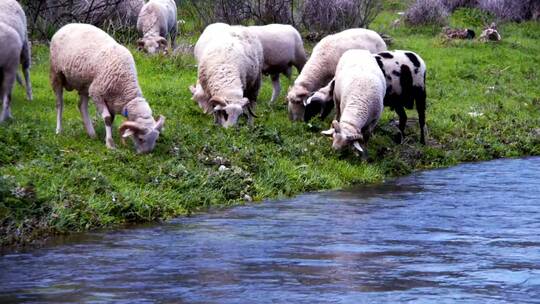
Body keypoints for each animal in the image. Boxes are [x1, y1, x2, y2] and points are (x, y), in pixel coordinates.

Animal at [50, 23, 165, 154]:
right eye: (140, 139)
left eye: (155, 139)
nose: (146, 153)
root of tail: (66, 25)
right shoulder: (97, 94)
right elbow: (108, 119)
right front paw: (110, 144)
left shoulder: (112, 101)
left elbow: (112, 119)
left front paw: (108, 138)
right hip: (56, 73)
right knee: (59, 104)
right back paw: (59, 130)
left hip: (86, 84)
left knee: (82, 106)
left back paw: (91, 134)